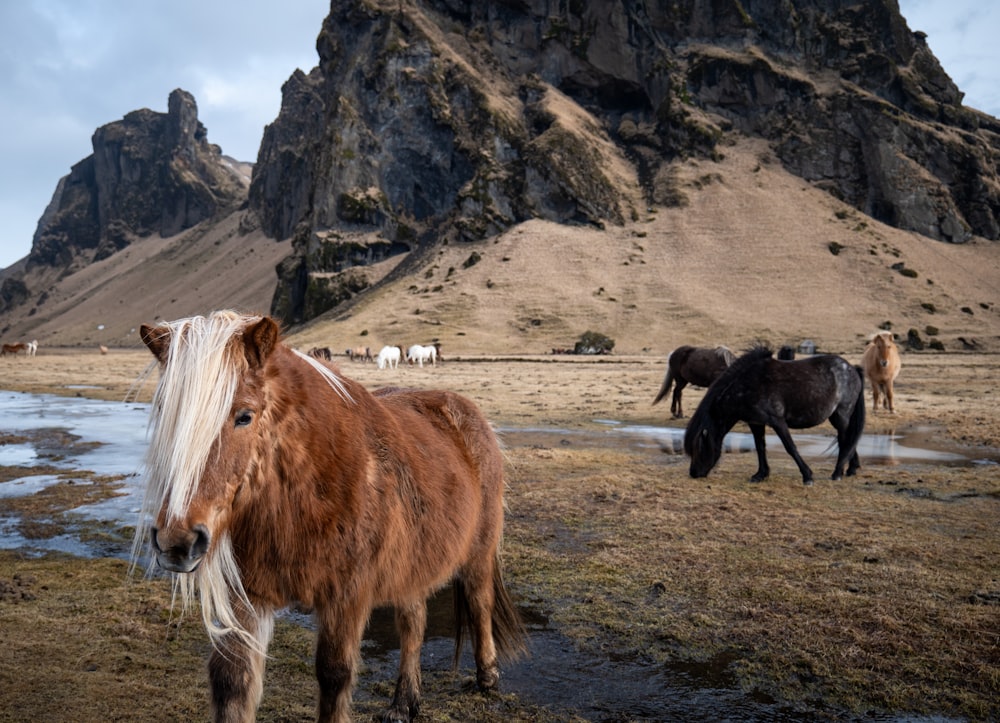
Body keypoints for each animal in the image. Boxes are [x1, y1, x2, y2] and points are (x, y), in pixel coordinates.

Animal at [133, 314, 528, 723]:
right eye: (164, 413)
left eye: (244, 416)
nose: (176, 543)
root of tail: (468, 412)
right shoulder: (247, 597)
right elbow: (232, 681)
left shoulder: (347, 597)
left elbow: (334, 675)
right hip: (412, 564)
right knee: (413, 623)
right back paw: (403, 702)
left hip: (478, 553)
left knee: (479, 603)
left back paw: (487, 676)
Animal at [684, 346, 864, 486]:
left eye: (698, 448)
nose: (693, 473)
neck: (746, 385)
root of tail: (852, 369)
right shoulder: (756, 423)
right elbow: (760, 447)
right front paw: (760, 475)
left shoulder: (777, 421)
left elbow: (790, 447)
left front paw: (807, 476)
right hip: (836, 418)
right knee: (848, 441)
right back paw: (851, 469)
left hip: (841, 416)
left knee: (845, 440)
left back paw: (838, 473)